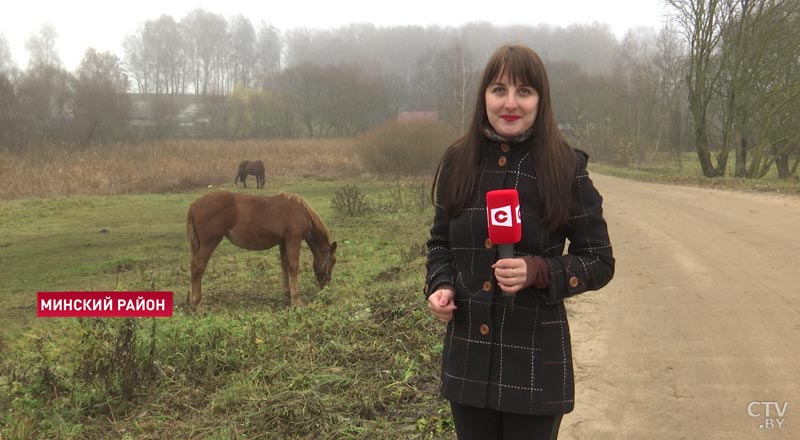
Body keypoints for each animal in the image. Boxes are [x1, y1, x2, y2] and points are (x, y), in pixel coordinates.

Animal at [186, 191, 336, 308]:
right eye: (333, 262)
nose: (326, 287)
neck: (300, 211)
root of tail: (194, 204)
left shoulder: (283, 241)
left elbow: (285, 266)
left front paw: (287, 294)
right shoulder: (293, 239)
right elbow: (293, 267)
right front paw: (296, 300)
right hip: (209, 243)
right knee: (198, 268)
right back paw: (197, 303)